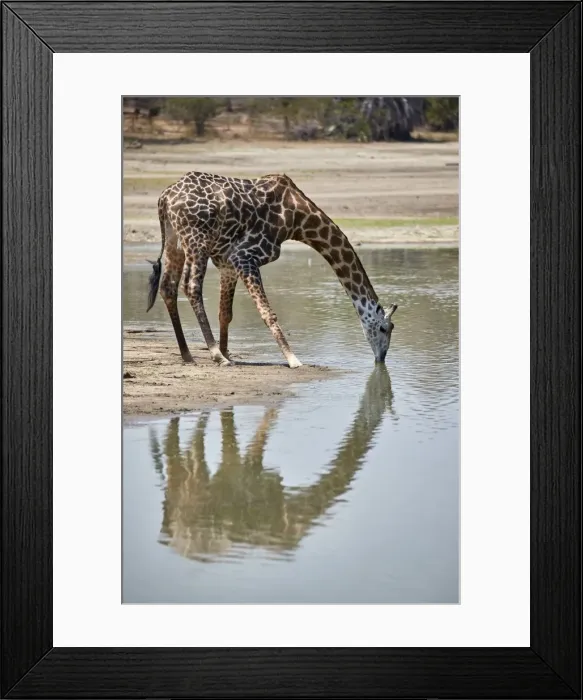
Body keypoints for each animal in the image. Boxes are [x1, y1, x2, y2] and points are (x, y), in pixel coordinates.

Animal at [147, 171, 397, 368]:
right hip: (196, 240)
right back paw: (216, 355)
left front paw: (229, 352)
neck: (298, 219)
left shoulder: (228, 263)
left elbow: (225, 313)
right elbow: (268, 312)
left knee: (168, 286)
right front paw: (293, 359)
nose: (381, 358)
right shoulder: (245, 256)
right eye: (385, 328)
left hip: (175, 241)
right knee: (191, 286)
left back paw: (188, 355)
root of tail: (164, 198)